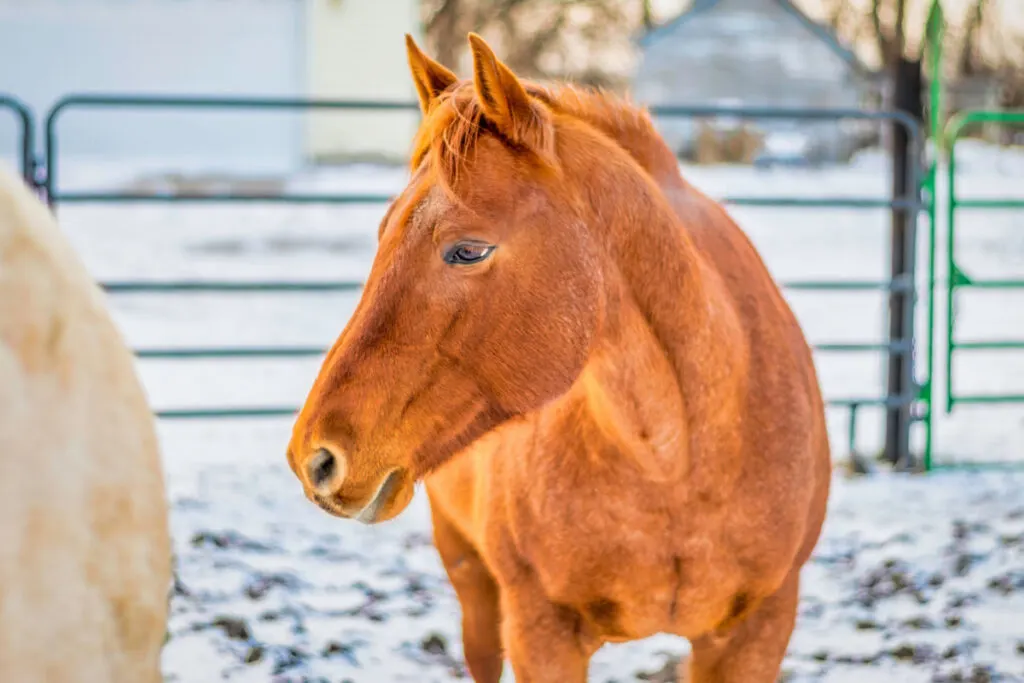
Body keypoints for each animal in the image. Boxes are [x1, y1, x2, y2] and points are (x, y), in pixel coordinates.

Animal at [284, 34, 827, 683]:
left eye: (468, 250)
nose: (314, 458)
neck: (680, 462)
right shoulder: (540, 632)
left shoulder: (756, 633)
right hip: (470, 579)